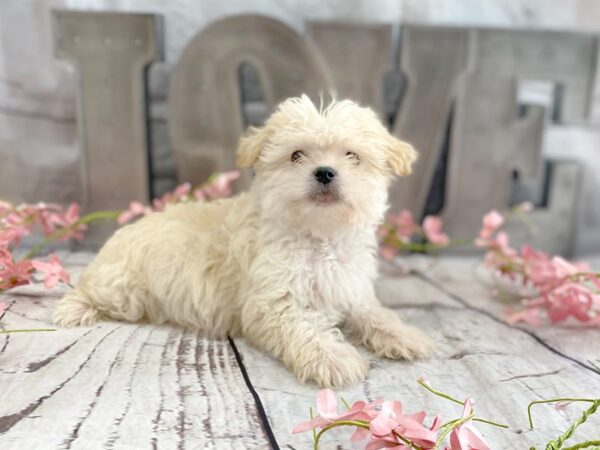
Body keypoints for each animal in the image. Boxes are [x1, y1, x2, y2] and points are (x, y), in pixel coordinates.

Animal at [55, 96, 432, 386]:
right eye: (296, 155)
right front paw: (333, 359)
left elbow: (373, 312)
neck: (317, 235)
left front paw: (405, 335)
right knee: (91, 291)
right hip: (123, 289)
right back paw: (73, 308)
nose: (325, 172)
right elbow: (306, 329)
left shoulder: (349, 286)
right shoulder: (272, 302)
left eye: (352, 156)